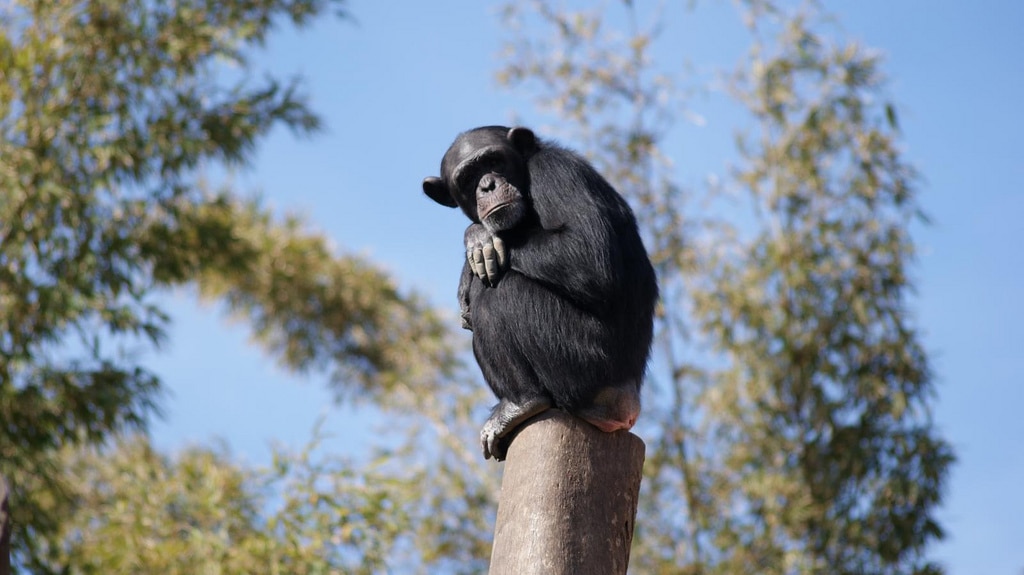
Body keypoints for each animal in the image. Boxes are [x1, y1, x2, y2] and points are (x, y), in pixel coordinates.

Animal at [421, 126, 655, 460]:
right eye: (468, 178)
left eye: (493, 161)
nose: (487, 185)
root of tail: (625, 407)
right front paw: (476, 241)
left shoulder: (557, 173)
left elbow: (587, 255)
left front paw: (478, 237)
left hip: (582, 363)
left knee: (499, 291)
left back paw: (521, 403)